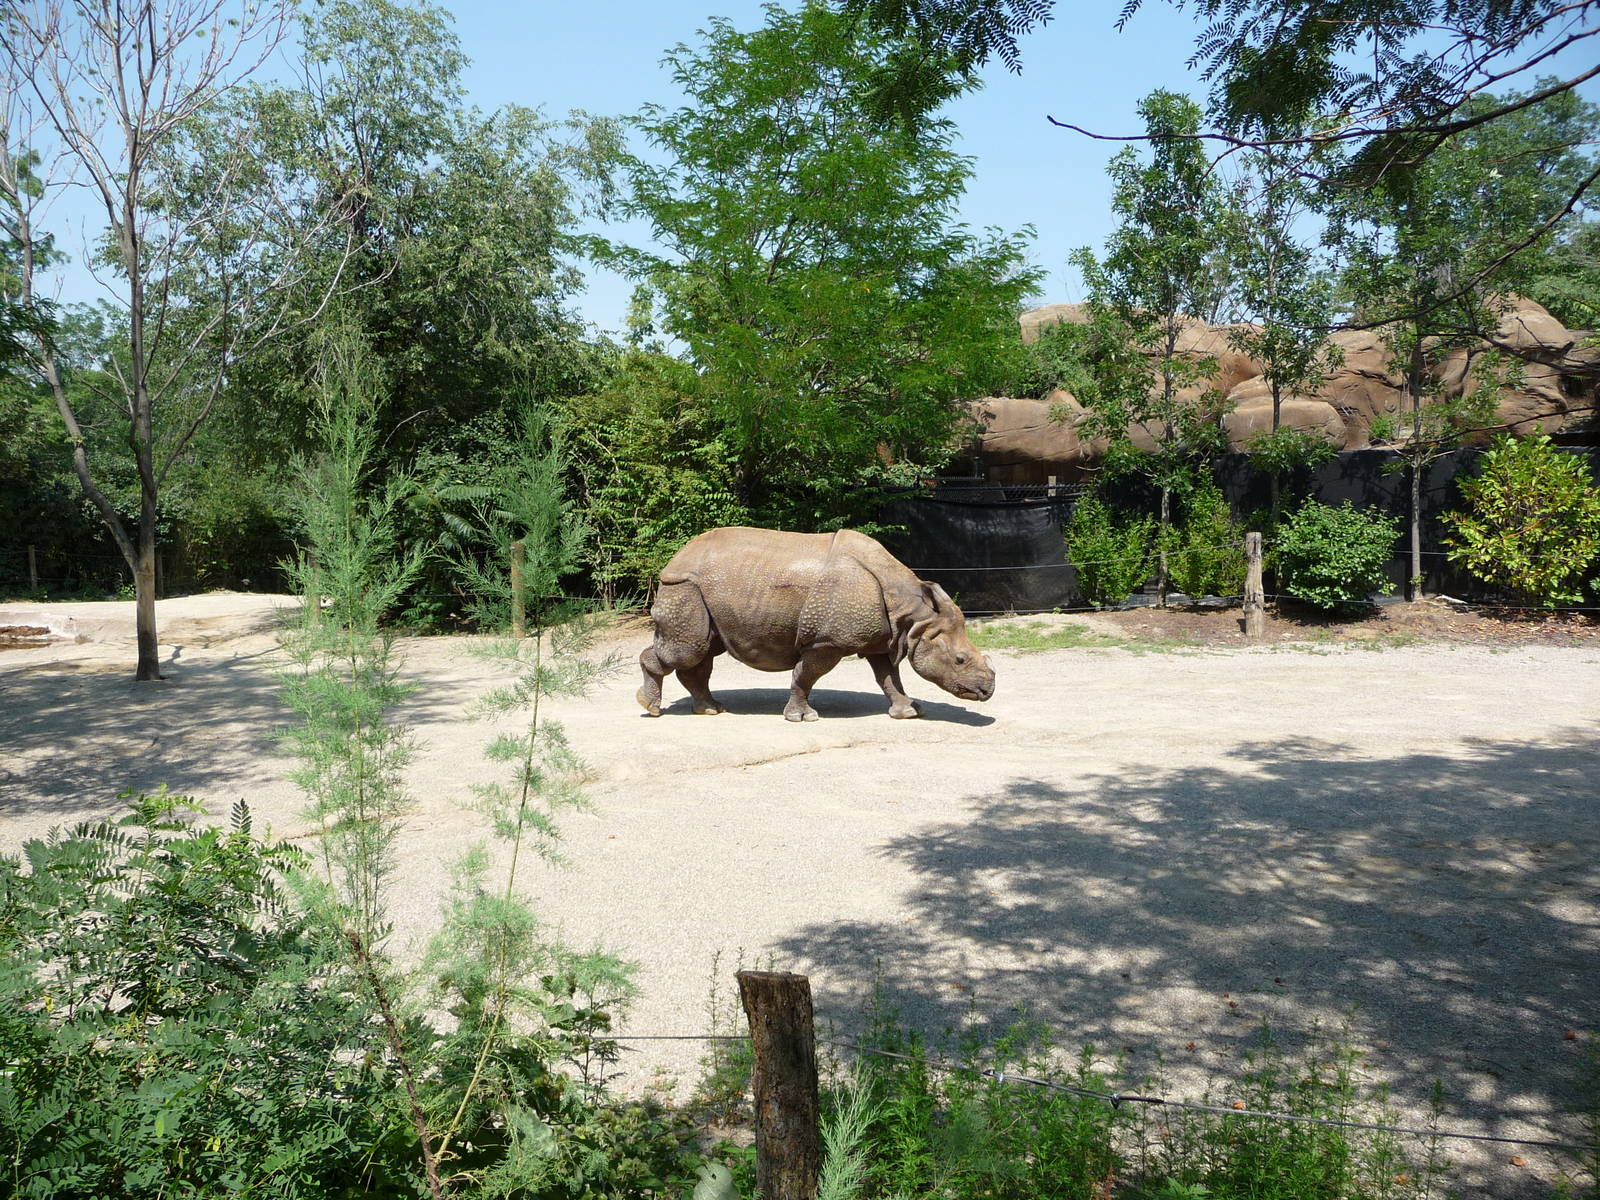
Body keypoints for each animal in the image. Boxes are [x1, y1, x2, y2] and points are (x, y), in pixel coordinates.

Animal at [637, 526, 994, 722]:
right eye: (960, 660)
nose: (988, 691)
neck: (913, 614)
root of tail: (675, 558)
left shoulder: (884, 637)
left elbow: (889, 677)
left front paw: (909, 711)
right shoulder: (827, 641)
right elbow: (805, 675)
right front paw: (802, 717)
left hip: (703, 589)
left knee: (703, 651)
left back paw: (711, 709)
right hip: (683, 586)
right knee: (689, 650)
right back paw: (652, 709)